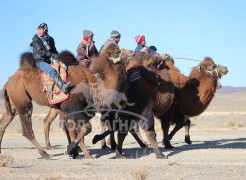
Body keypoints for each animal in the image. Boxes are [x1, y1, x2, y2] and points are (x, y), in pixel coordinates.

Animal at [0, 42, 134, 159]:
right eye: (118, 51)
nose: (132, 52)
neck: (93, 82)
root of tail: (8, 82)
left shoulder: (77, 110)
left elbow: (75, 129)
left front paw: (79, 153)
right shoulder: (75, 106)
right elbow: (85, 128)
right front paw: (73, 150)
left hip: (14, 103)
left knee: (4, 122)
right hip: (22, 99)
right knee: (27, 129)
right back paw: (45, 153)